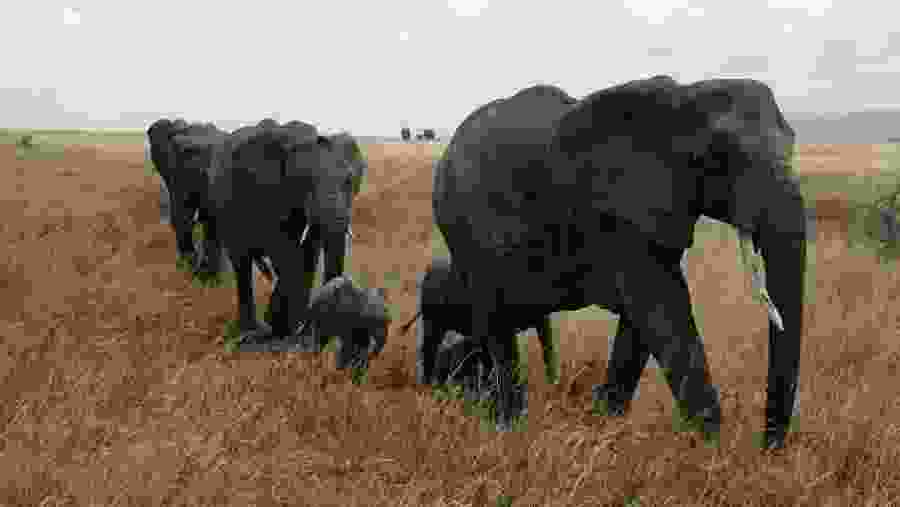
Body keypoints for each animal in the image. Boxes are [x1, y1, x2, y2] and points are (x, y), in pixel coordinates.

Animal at [205, 120, 368, 347]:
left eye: (349, 181)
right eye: (305, 182)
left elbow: (308, 255)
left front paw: (299, 332)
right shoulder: (271, 195)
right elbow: (287, 256)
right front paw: (282, 330)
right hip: (225, 211)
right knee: (242, 262)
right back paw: (249, 330)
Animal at [433, 77, 806, 450]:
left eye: (792, 141)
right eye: (718, 158)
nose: (767, 450)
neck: (683, 98)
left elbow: (642, 322)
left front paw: (602, 427)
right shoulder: (618, 217)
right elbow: (661, 309)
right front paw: (714, 451)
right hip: (467, 238)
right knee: (497, 325)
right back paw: (510, 426)